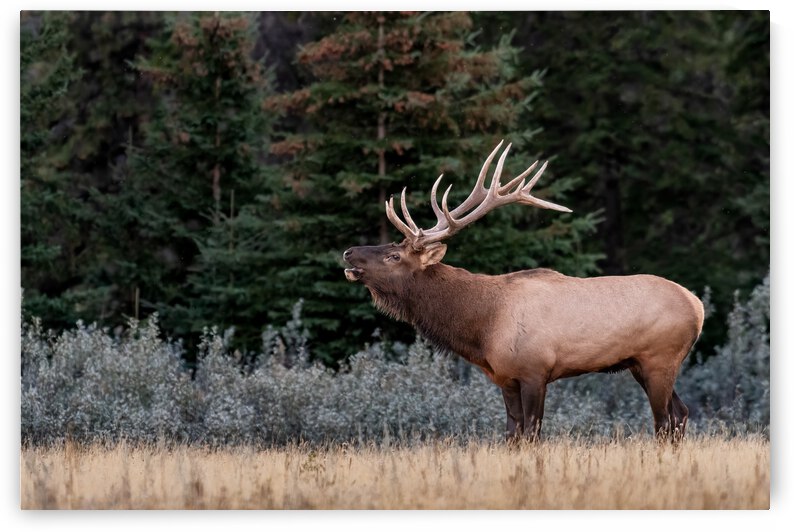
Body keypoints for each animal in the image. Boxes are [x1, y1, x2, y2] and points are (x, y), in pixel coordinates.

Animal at [343, 141, 704, 443]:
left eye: (394, 256)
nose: (348, 252)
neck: (482, 327)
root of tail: (697, 305)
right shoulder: (505, 377)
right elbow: (512, 433)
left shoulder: (535, 370)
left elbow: (531, 432)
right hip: (639, 365)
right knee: (681, 413)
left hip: (660, 358)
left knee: (665, 420)